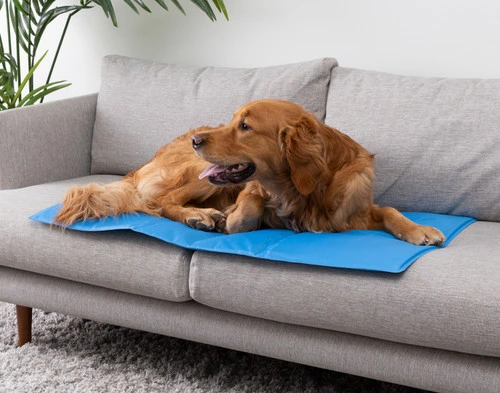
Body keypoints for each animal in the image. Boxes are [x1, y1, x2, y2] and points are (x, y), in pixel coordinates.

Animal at [54, 98, 446, 245]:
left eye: (245, 126)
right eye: (231, 120)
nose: (197, 139)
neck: (305, 191)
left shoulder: (355, 211)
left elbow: (391, 210)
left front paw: (420, 230)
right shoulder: (250, 194)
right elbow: (246, 208)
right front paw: (232, 215)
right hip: (200, 175)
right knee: (160, 202)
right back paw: (199, 216)